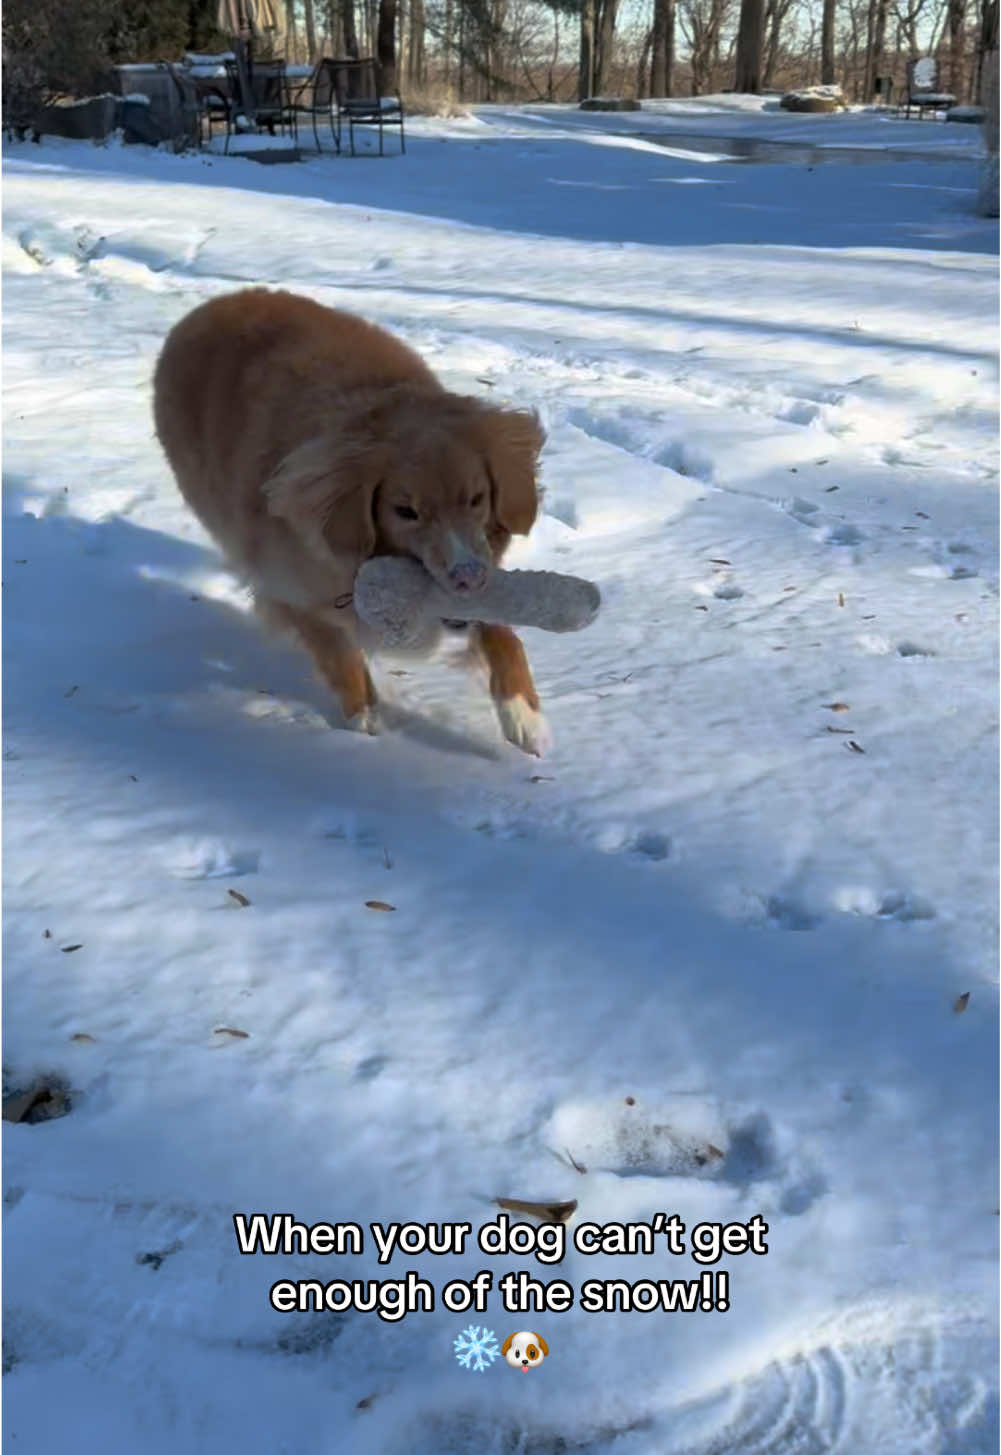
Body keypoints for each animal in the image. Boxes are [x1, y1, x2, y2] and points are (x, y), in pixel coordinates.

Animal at [152, 289, 549, 756]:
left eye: (476, 499)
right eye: (405, 511)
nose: (467, 577)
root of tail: (213, 303)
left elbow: (502, 633)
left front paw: (524, 714)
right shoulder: (293, 593)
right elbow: (338, 655)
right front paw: (363, 726)